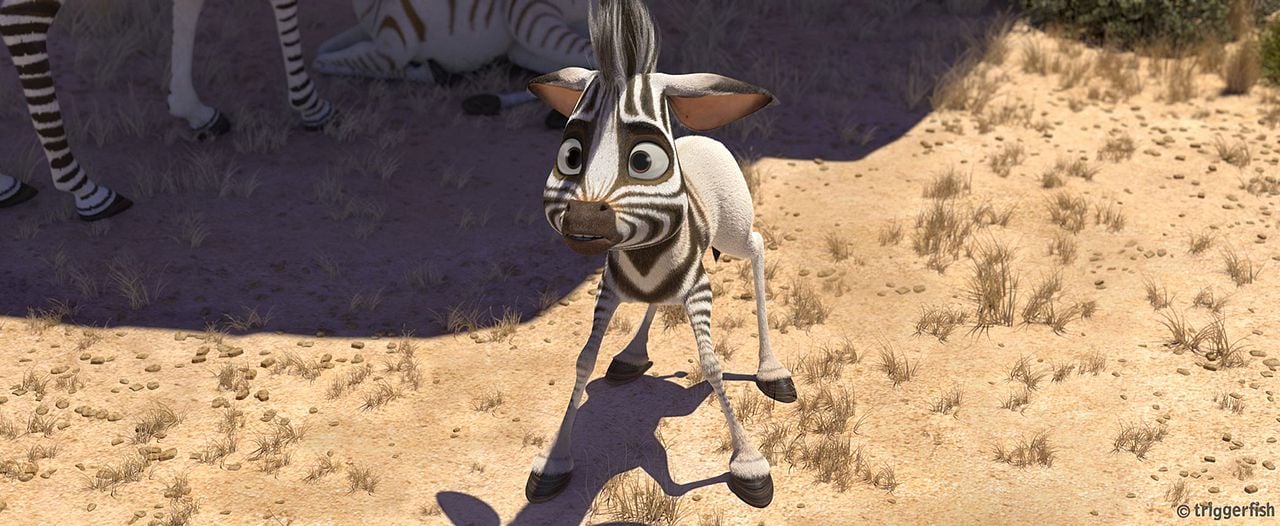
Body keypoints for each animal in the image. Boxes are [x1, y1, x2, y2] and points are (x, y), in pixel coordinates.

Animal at [524, 0, 792, 509]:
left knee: (757, 245)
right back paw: (632, 356)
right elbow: (584, 359)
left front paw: (748, 464)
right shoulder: (608, 290)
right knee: (657, 304)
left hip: (733, 230)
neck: (644, 256)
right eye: (570, 155)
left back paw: (772, 370)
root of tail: (698, 137)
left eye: (644, 160)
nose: (583, 217)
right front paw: (552, 463)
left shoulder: (700, 292)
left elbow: (712, 365)